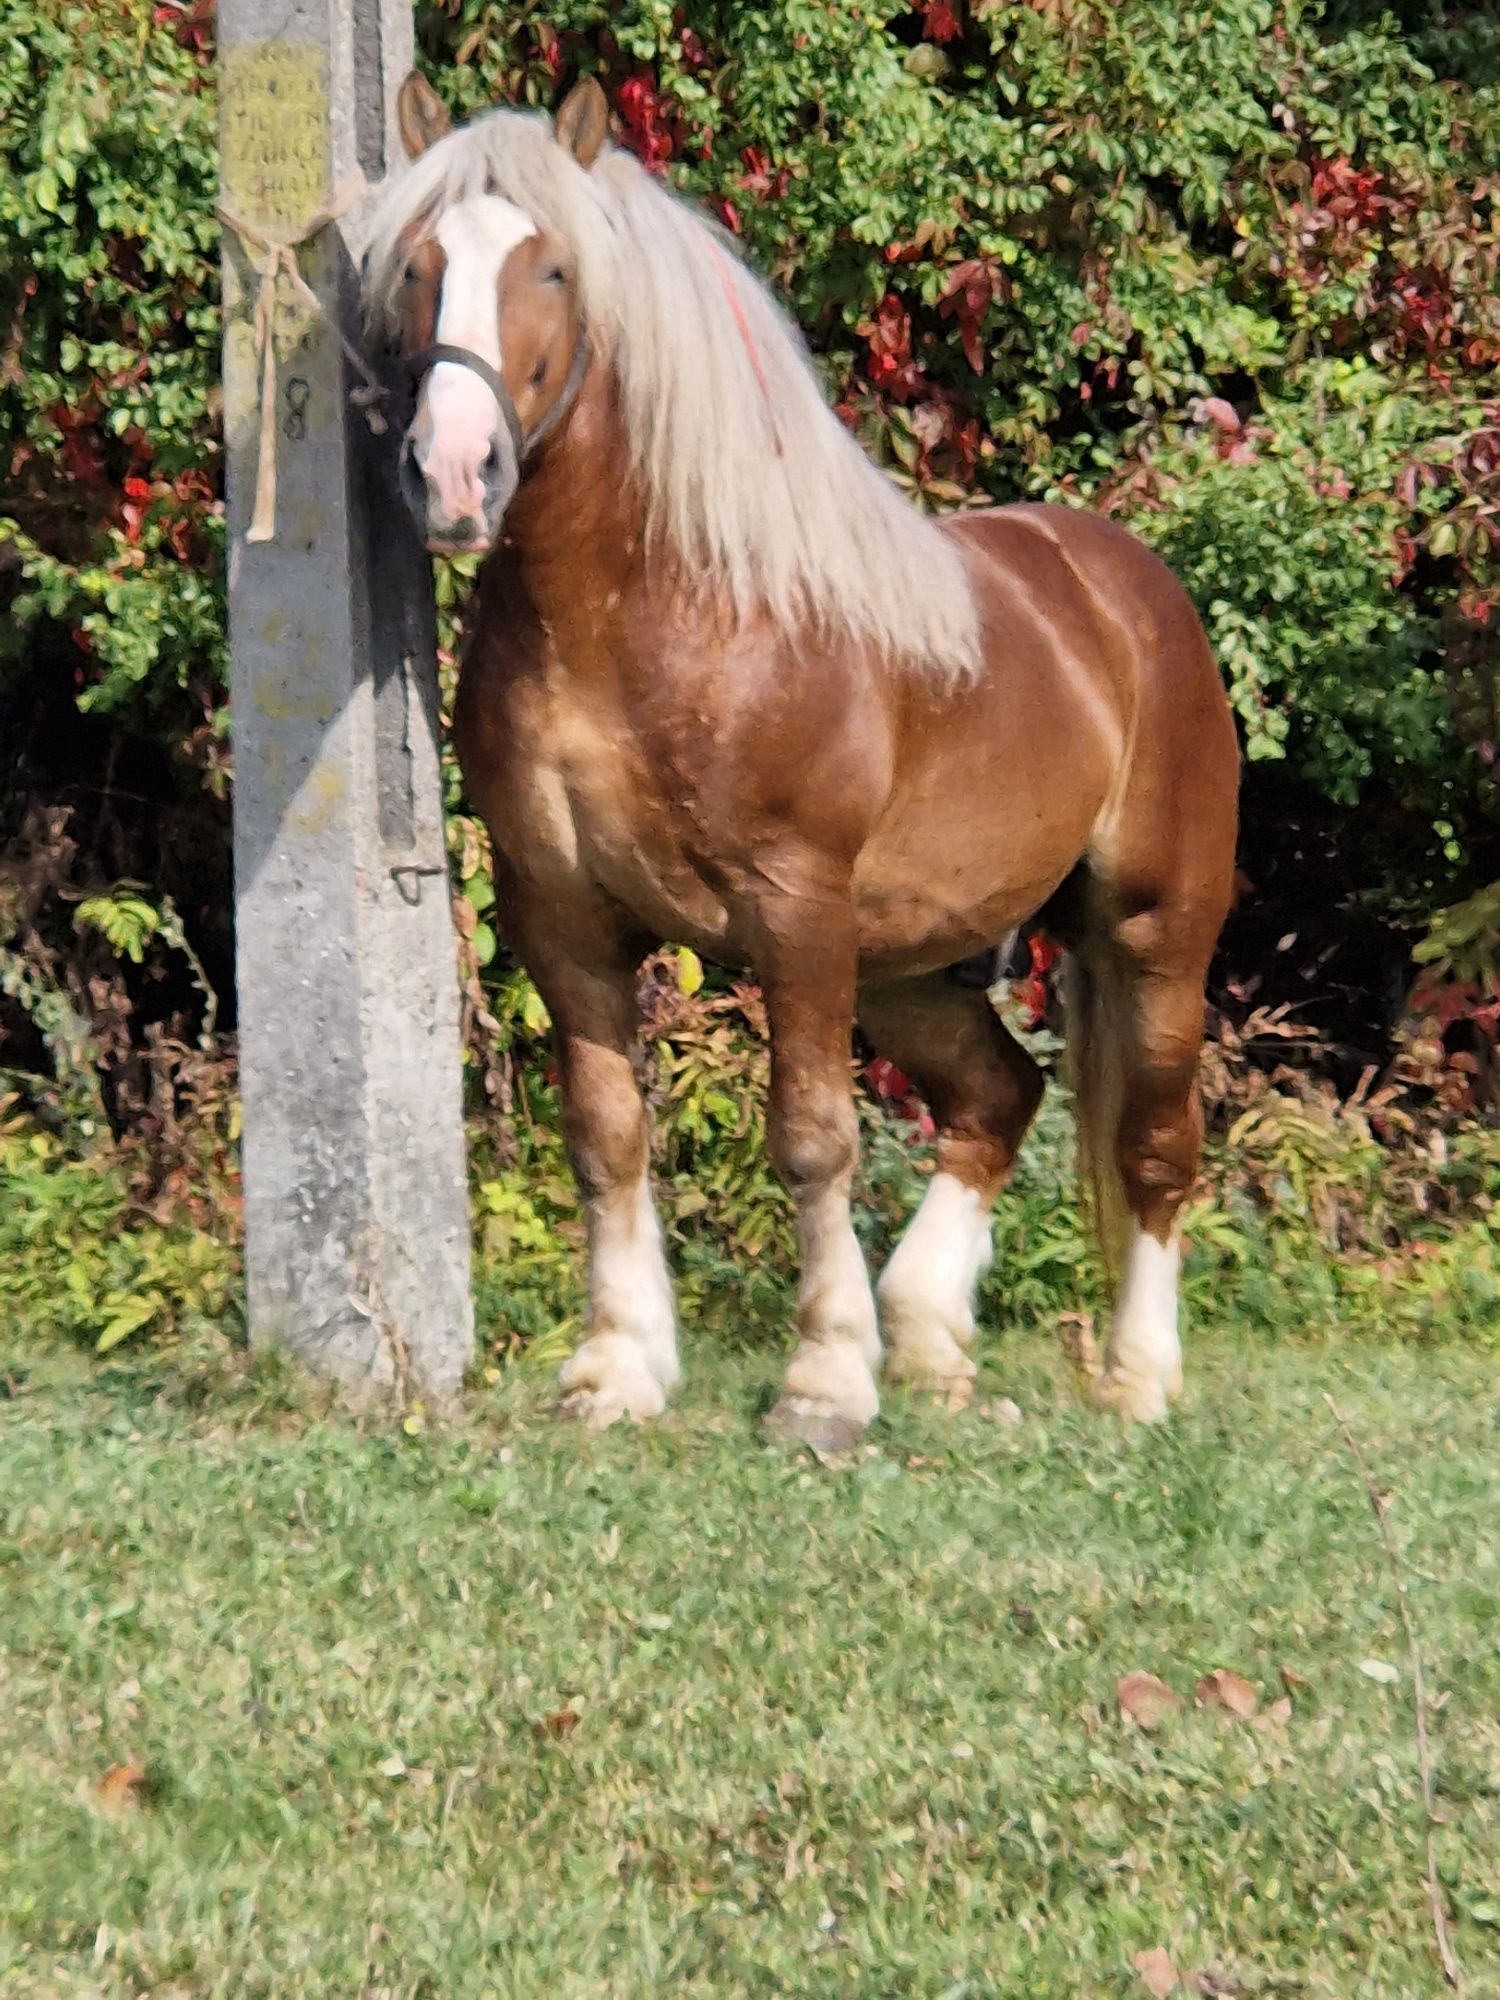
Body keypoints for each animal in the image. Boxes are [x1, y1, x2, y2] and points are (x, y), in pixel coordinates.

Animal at [368, 74, 1248, 1456]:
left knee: (1156, 1143)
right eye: (417, 264)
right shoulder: (563, 915)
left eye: (553, 266)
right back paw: (932, 1341)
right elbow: (606, 1133)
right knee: (998, 1095)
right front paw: (617, 1363)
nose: (454, 474)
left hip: (1152, 932)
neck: (658, 616)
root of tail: (1125, 588)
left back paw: (1136, 1375)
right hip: (908, 962)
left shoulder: (797, 915)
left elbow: (813, 1138)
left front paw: (826, 1380)